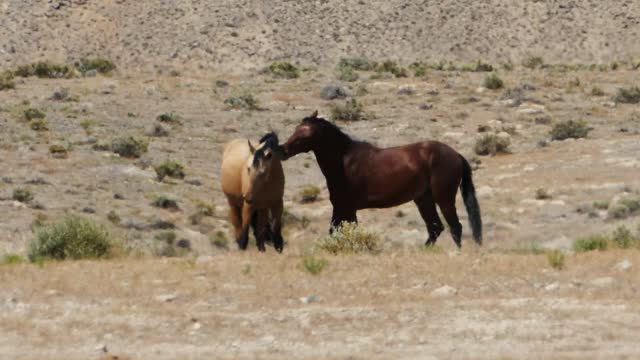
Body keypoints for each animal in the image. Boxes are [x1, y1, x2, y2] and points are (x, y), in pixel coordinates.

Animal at [278, 112, 480, 248]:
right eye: (296, 129)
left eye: (306, 134)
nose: (282, 150)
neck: (344, 161)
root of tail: (455, 155)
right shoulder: (344, 208)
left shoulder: (345, 207)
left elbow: (338, 232)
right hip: (424, 199)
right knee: (435, 228)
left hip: (443, 198)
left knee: (455, 227)